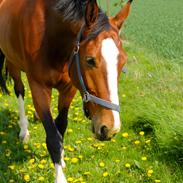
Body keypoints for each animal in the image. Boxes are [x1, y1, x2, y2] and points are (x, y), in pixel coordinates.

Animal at [0, 0, 133, 182]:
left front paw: (61, 159)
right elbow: (52, 137)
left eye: (123, 61)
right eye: (90, 60)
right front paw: (60, 176)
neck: (49, 34)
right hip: (12, 62)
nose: (110, 128)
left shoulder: (69, 88)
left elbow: (61, 126)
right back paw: (24, 131)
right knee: (19, 92)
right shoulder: (39, 87)